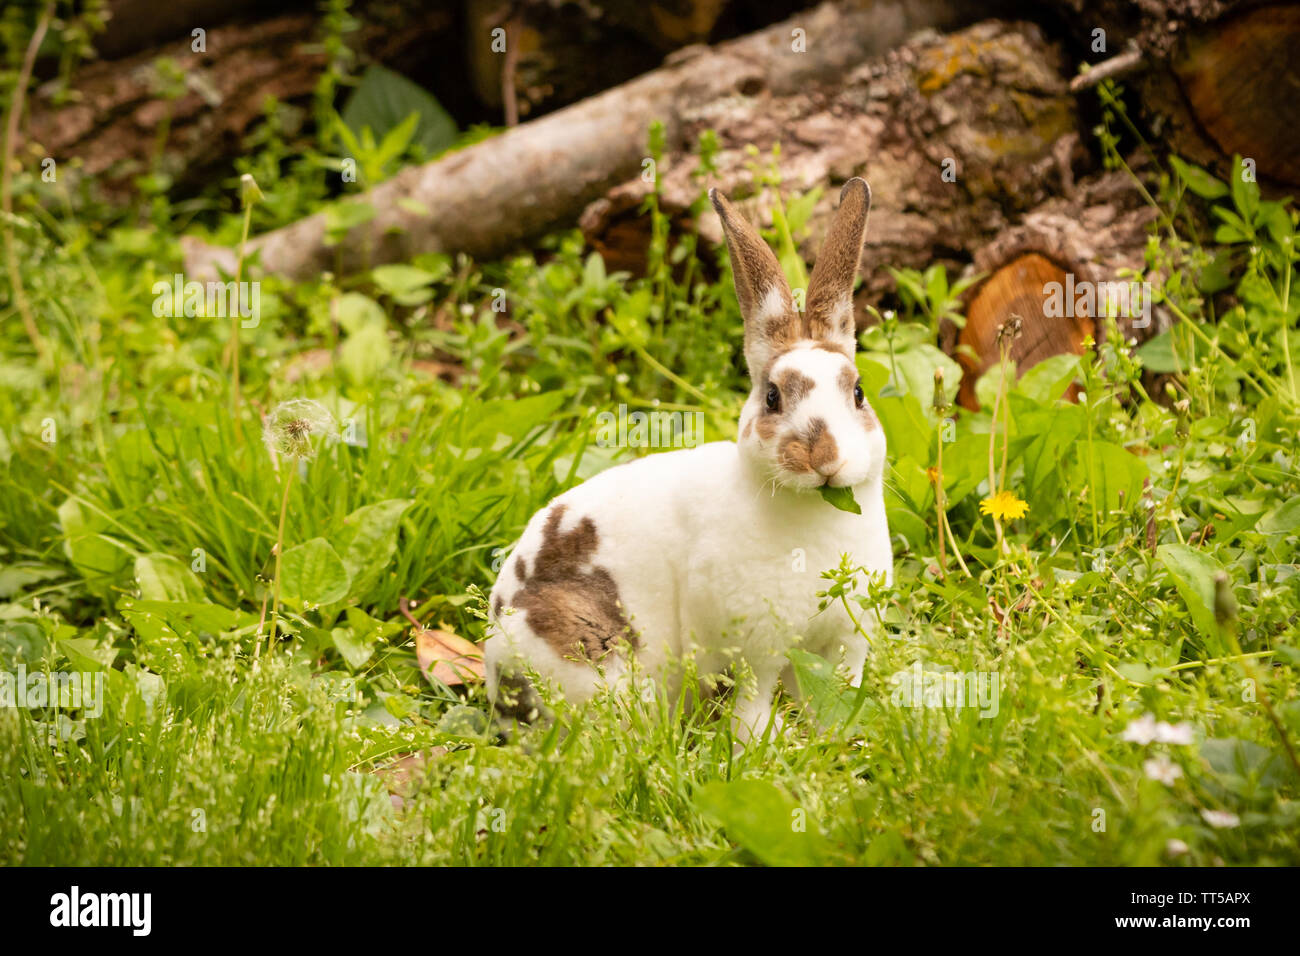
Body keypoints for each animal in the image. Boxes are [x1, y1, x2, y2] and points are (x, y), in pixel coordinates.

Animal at [484, 177, 892, 742]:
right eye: (772, 397)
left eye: (858, 393)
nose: (824, 456)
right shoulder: (755, 646)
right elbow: (753, 699)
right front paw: (763, 743)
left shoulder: (848, 638)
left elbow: (841, 687)